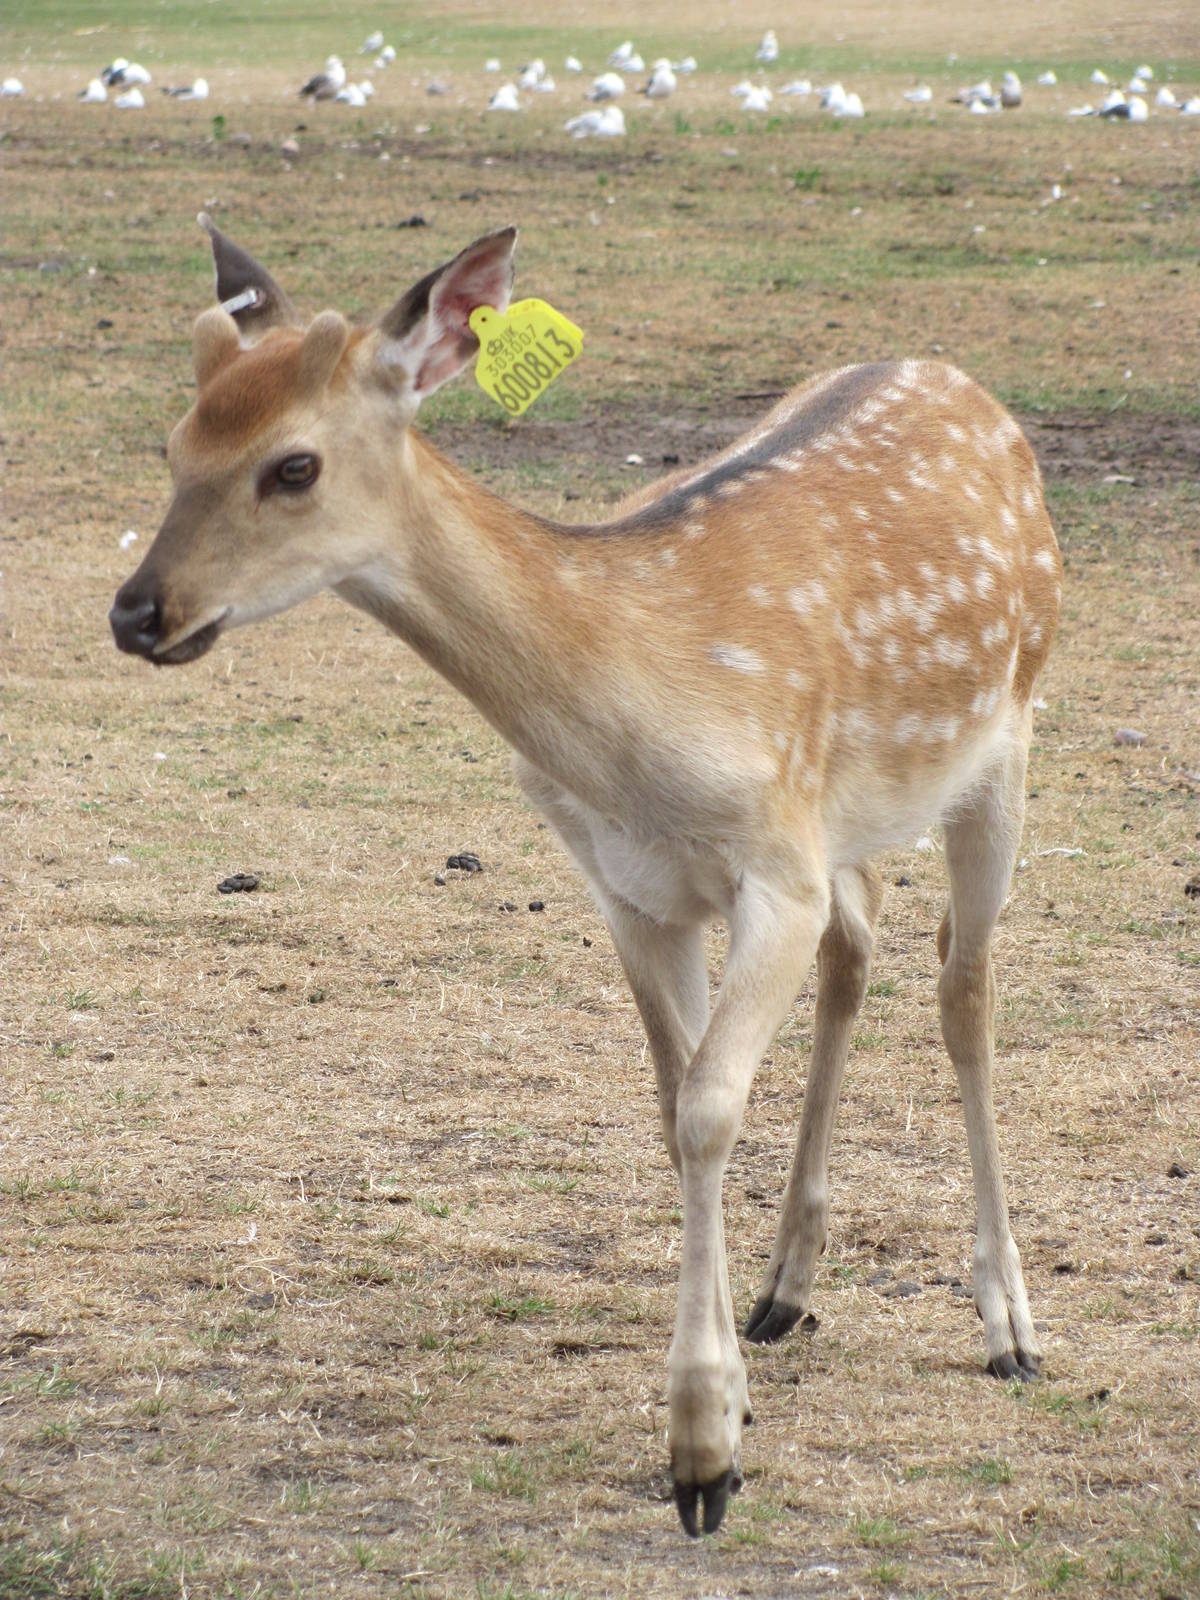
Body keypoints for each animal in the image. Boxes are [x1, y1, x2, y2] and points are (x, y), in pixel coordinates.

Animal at [110, 217, 1062, 1538]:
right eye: (176, 445)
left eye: (292, 466)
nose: (138, 612)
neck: (635, 715)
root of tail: (959, 379)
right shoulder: (632, 887)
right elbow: (676, 1106)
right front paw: (733, 1400)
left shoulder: (771, 862)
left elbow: (710, 1107)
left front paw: (702, 1454)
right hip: (854, 817)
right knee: (862, 938)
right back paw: (789, 1286)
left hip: (1007, 735)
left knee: (964, 992)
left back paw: (1009, 1325)